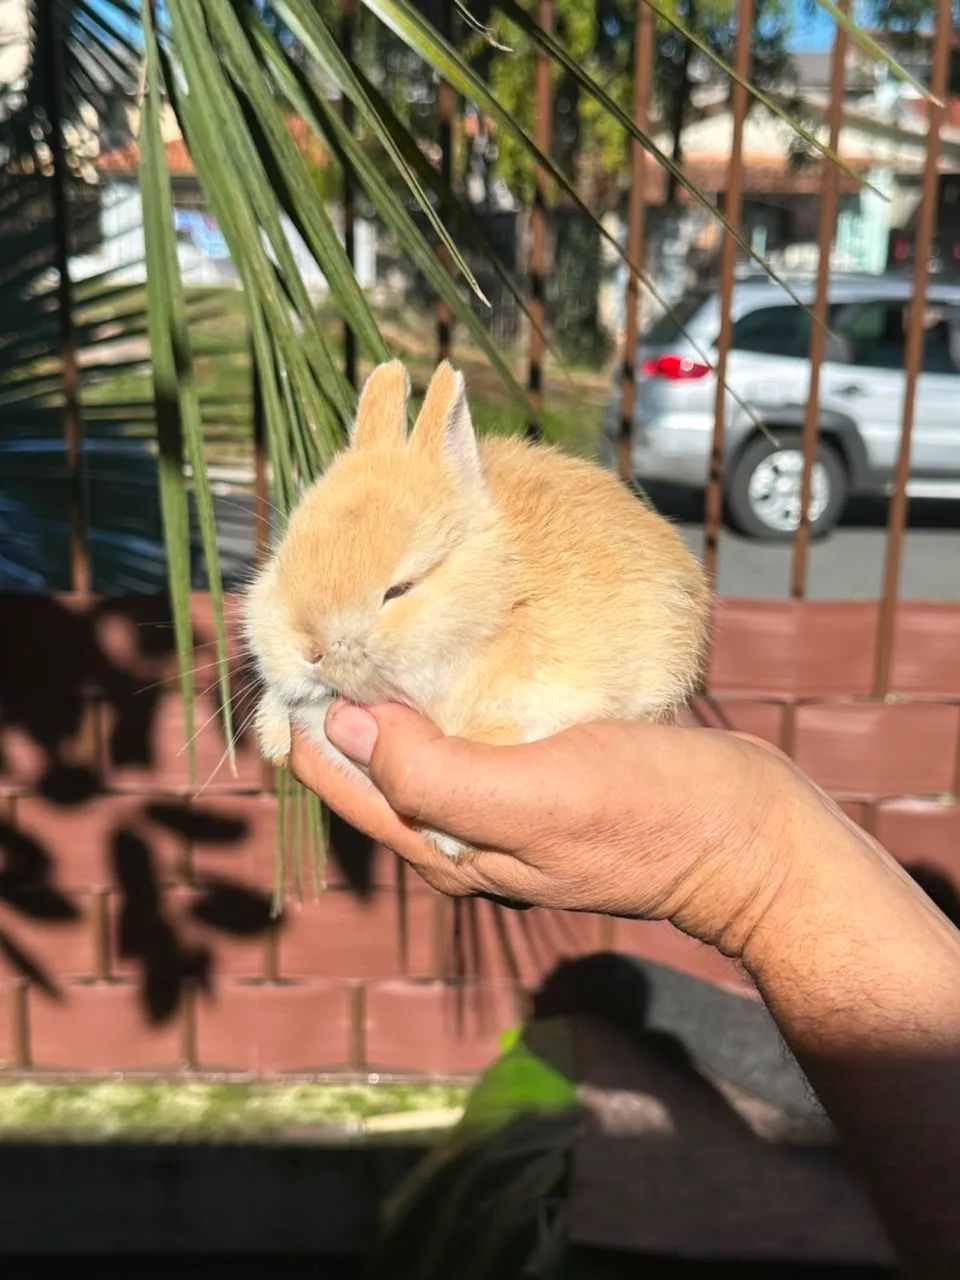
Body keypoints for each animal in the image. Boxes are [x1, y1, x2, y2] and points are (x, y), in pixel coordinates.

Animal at [244, 359, 710, 859]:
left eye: (399, 590)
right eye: (284, 559)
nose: (309, 651)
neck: (499, 604)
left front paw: (448, 840)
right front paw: (273, 734)